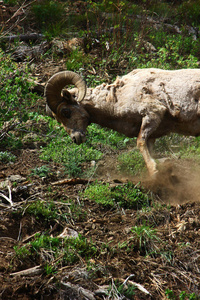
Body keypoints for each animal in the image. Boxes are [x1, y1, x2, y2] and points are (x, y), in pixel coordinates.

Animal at [45, 68, 200, 176]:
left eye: (66, 111)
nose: (75, 138)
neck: (116, 98)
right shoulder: (153, 133)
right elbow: (149, 149)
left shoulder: (153, 114)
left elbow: (140, 143)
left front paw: (153, 171)